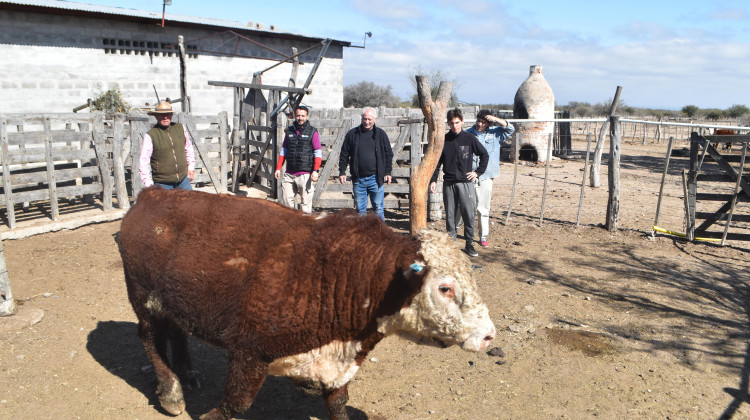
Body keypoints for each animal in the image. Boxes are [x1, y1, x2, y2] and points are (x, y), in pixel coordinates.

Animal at [119, 188, 500, 420]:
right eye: (445, 288)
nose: (488, 335)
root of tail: (152, 194)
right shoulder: (249, 352)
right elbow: (234, 404)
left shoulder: (336, 363)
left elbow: (338, 403)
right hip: (143, 297)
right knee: (149, 338)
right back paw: (171, 393)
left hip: (173, 302)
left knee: (175, 332)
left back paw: (187, 372)